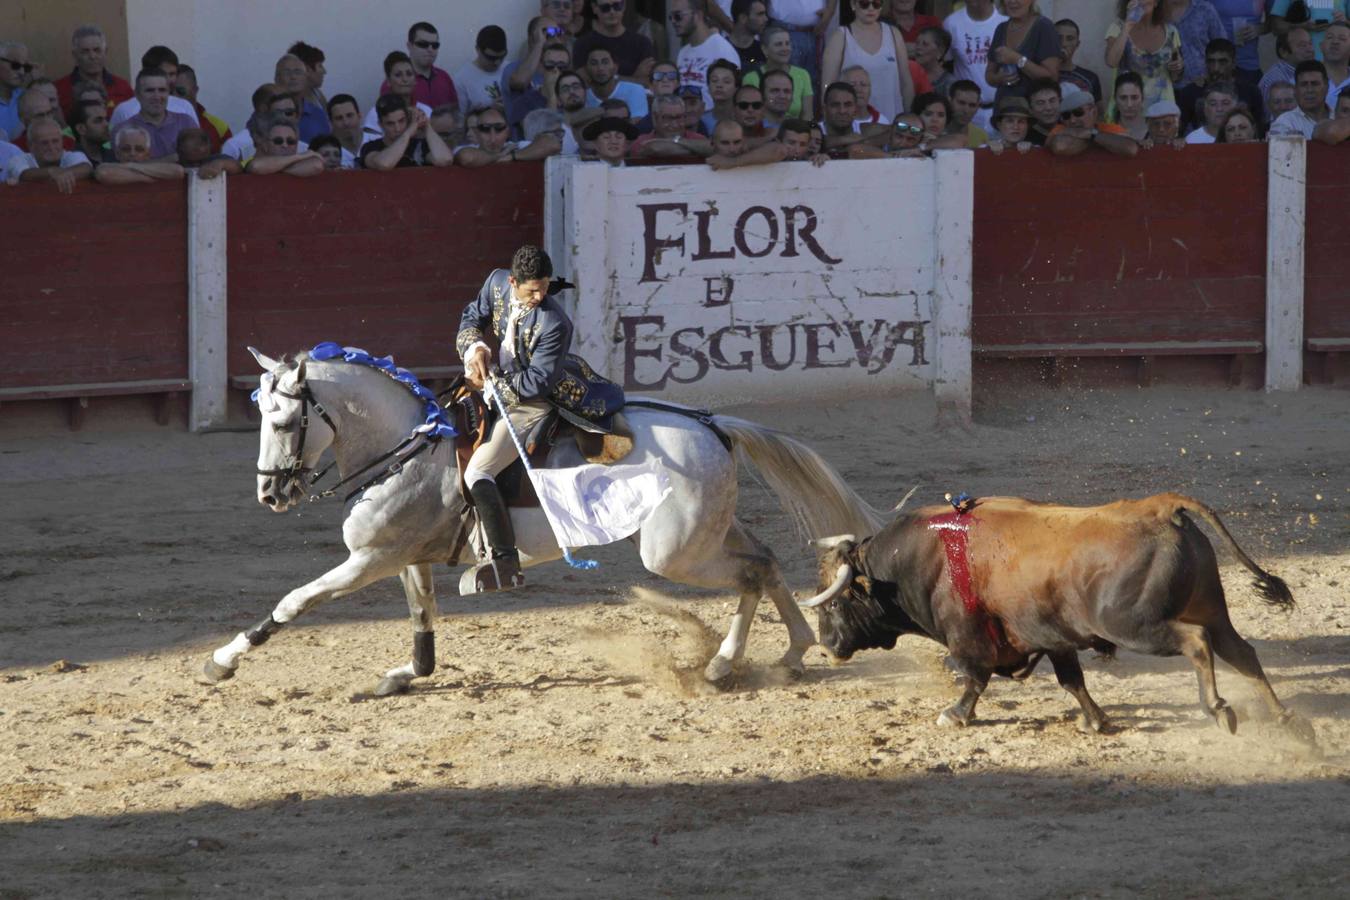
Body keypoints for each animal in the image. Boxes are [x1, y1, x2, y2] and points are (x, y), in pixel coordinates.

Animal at [202, 348, 885, 696]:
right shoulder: (407, 558)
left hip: (674, 552)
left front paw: (224, 659)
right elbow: (423, 620)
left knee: (748, 575)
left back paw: (722, 666)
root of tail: (712, 424)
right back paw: (792, 653)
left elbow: (295, 602)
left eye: (284, 421)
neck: (407, 445)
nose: (270, 494)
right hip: (709, 532)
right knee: (765, 563)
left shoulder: (370, 559)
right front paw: (406, 675)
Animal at [793, 493, 1312, 739]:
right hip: (1212, 609)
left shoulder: (968, 640)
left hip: (1137, 626)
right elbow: (1072, 681)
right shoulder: (1055, 639)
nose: (829, 647)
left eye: (834, 601)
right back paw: (1287, 719)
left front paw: (955, 715)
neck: (923, 558)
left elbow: (974, 679)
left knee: (1198, 642)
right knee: (1241, 651)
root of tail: (1161, 508)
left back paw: (1219, 709)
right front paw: (1096, 721)